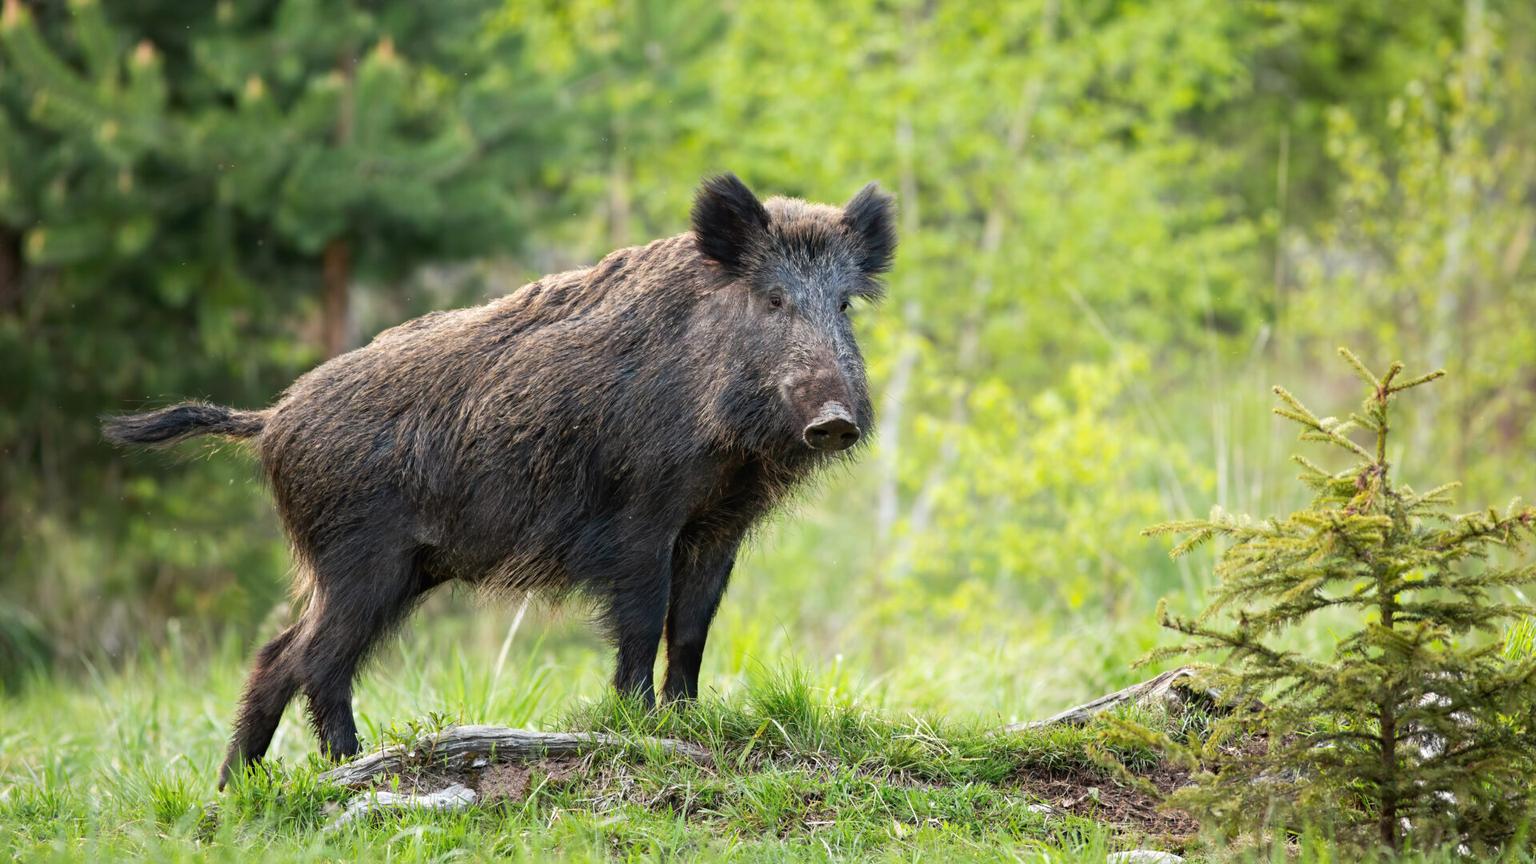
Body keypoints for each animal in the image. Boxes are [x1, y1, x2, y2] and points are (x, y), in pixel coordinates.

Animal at [103, 173, 896, 788]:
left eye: (844, 305)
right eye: (773, 299)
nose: (834, 419)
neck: (727, 450)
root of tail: (270, 419)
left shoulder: (716, 527)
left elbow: (694, 629)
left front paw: (687, 723)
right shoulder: (639, 520)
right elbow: (644, 623)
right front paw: (638, 728)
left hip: (391, 568)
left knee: (277, 656)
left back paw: (236, 790)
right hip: (363, 559)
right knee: (313, 659)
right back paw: (351, 766)